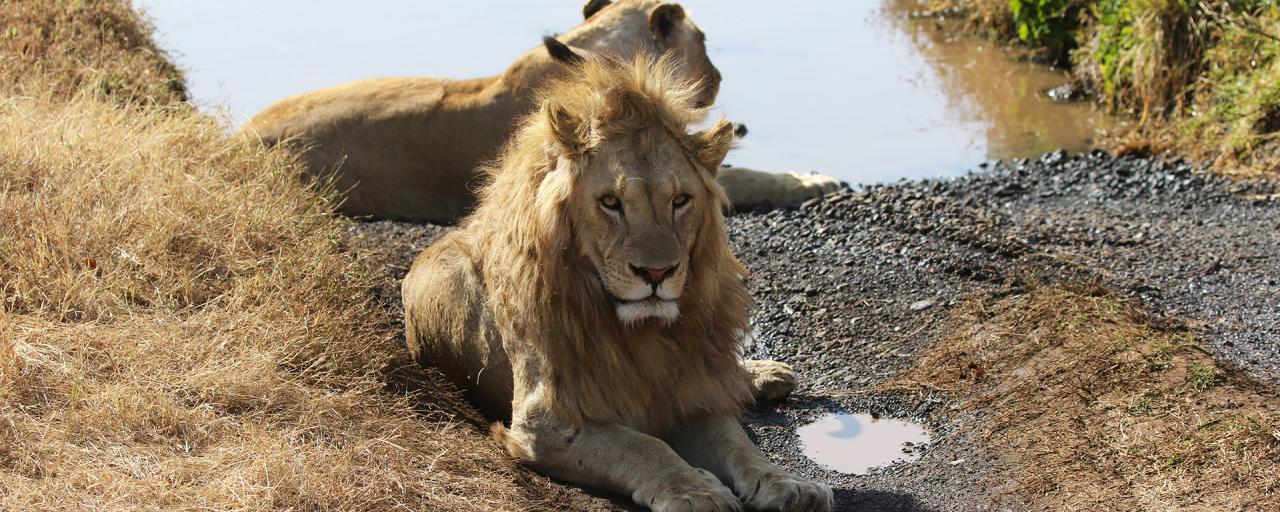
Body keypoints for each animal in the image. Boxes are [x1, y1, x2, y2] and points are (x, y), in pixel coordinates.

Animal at [404, 54, 834, 509]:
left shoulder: (688, 396)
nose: (657, 273)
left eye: (680, 200)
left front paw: (788, 484)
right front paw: (696, 490)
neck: (640, 332)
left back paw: (765, 374)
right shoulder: (545, 420)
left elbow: (739, 444)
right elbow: (643, 446)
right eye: (611, 202)